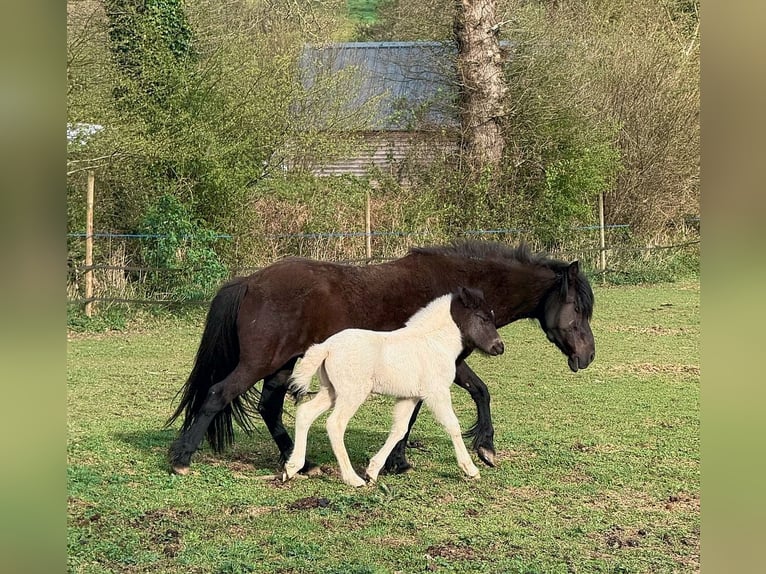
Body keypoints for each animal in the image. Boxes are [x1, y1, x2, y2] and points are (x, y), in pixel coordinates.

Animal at [283, 287, 505, 487]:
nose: (499, 347)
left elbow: (399, 429)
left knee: (305, 413)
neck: (433, 342)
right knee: (335, 424)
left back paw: (291, 468)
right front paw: (471, 469)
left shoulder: (410, 397)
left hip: (331, 392)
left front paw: (373, 471)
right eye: (483, 318)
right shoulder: (437, 392)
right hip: (352, 394)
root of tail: (326, 347)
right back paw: (352, 479)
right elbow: (452, 425)